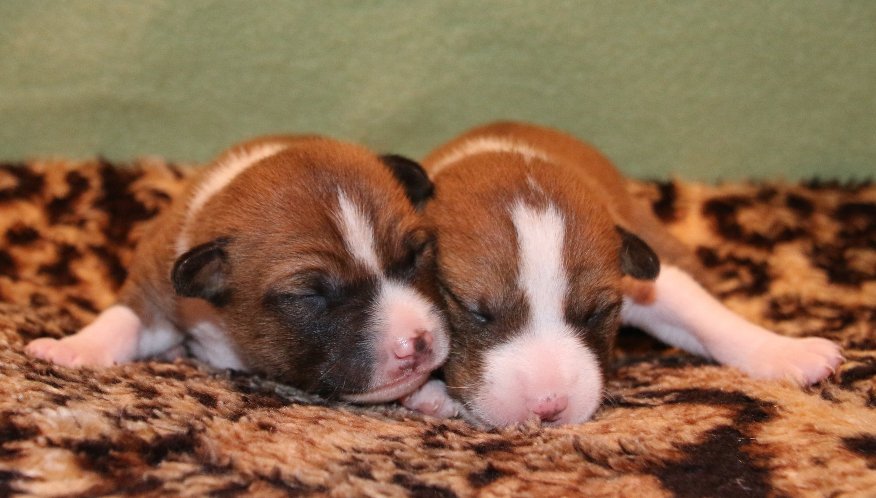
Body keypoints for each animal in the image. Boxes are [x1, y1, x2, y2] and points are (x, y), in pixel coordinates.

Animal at [26, 135, 449, 403]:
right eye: (309, 295)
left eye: (416, 255)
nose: (417, 342)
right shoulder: (155, 283)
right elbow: (124, 318)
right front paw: (73, 347)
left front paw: (431, 393)